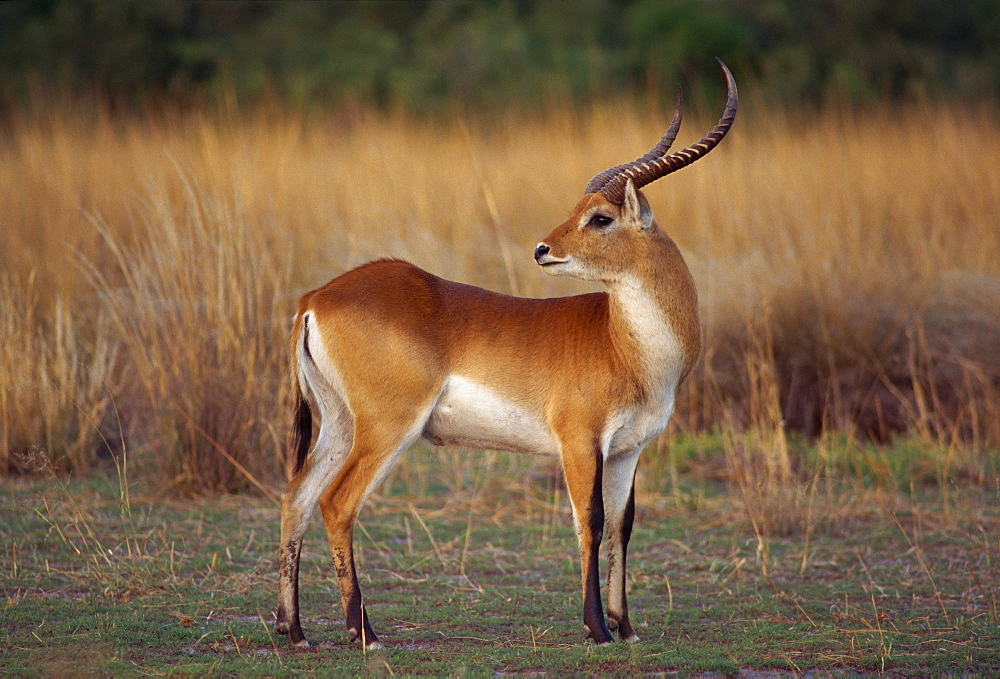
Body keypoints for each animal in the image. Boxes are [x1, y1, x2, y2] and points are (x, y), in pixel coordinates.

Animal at [274, 58, 736, 648]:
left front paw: (626, 627)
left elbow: (621, 526)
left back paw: (294, 630)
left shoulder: (629, 450)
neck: (626, 345)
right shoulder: (579, 442)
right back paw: (365, 634)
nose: (542, 250)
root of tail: (316, 297)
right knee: (336, 503)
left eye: (599, 217)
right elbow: (589, 520)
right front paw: (597, 629)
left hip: (339, 422)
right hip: (386, 426)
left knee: (297, 497)